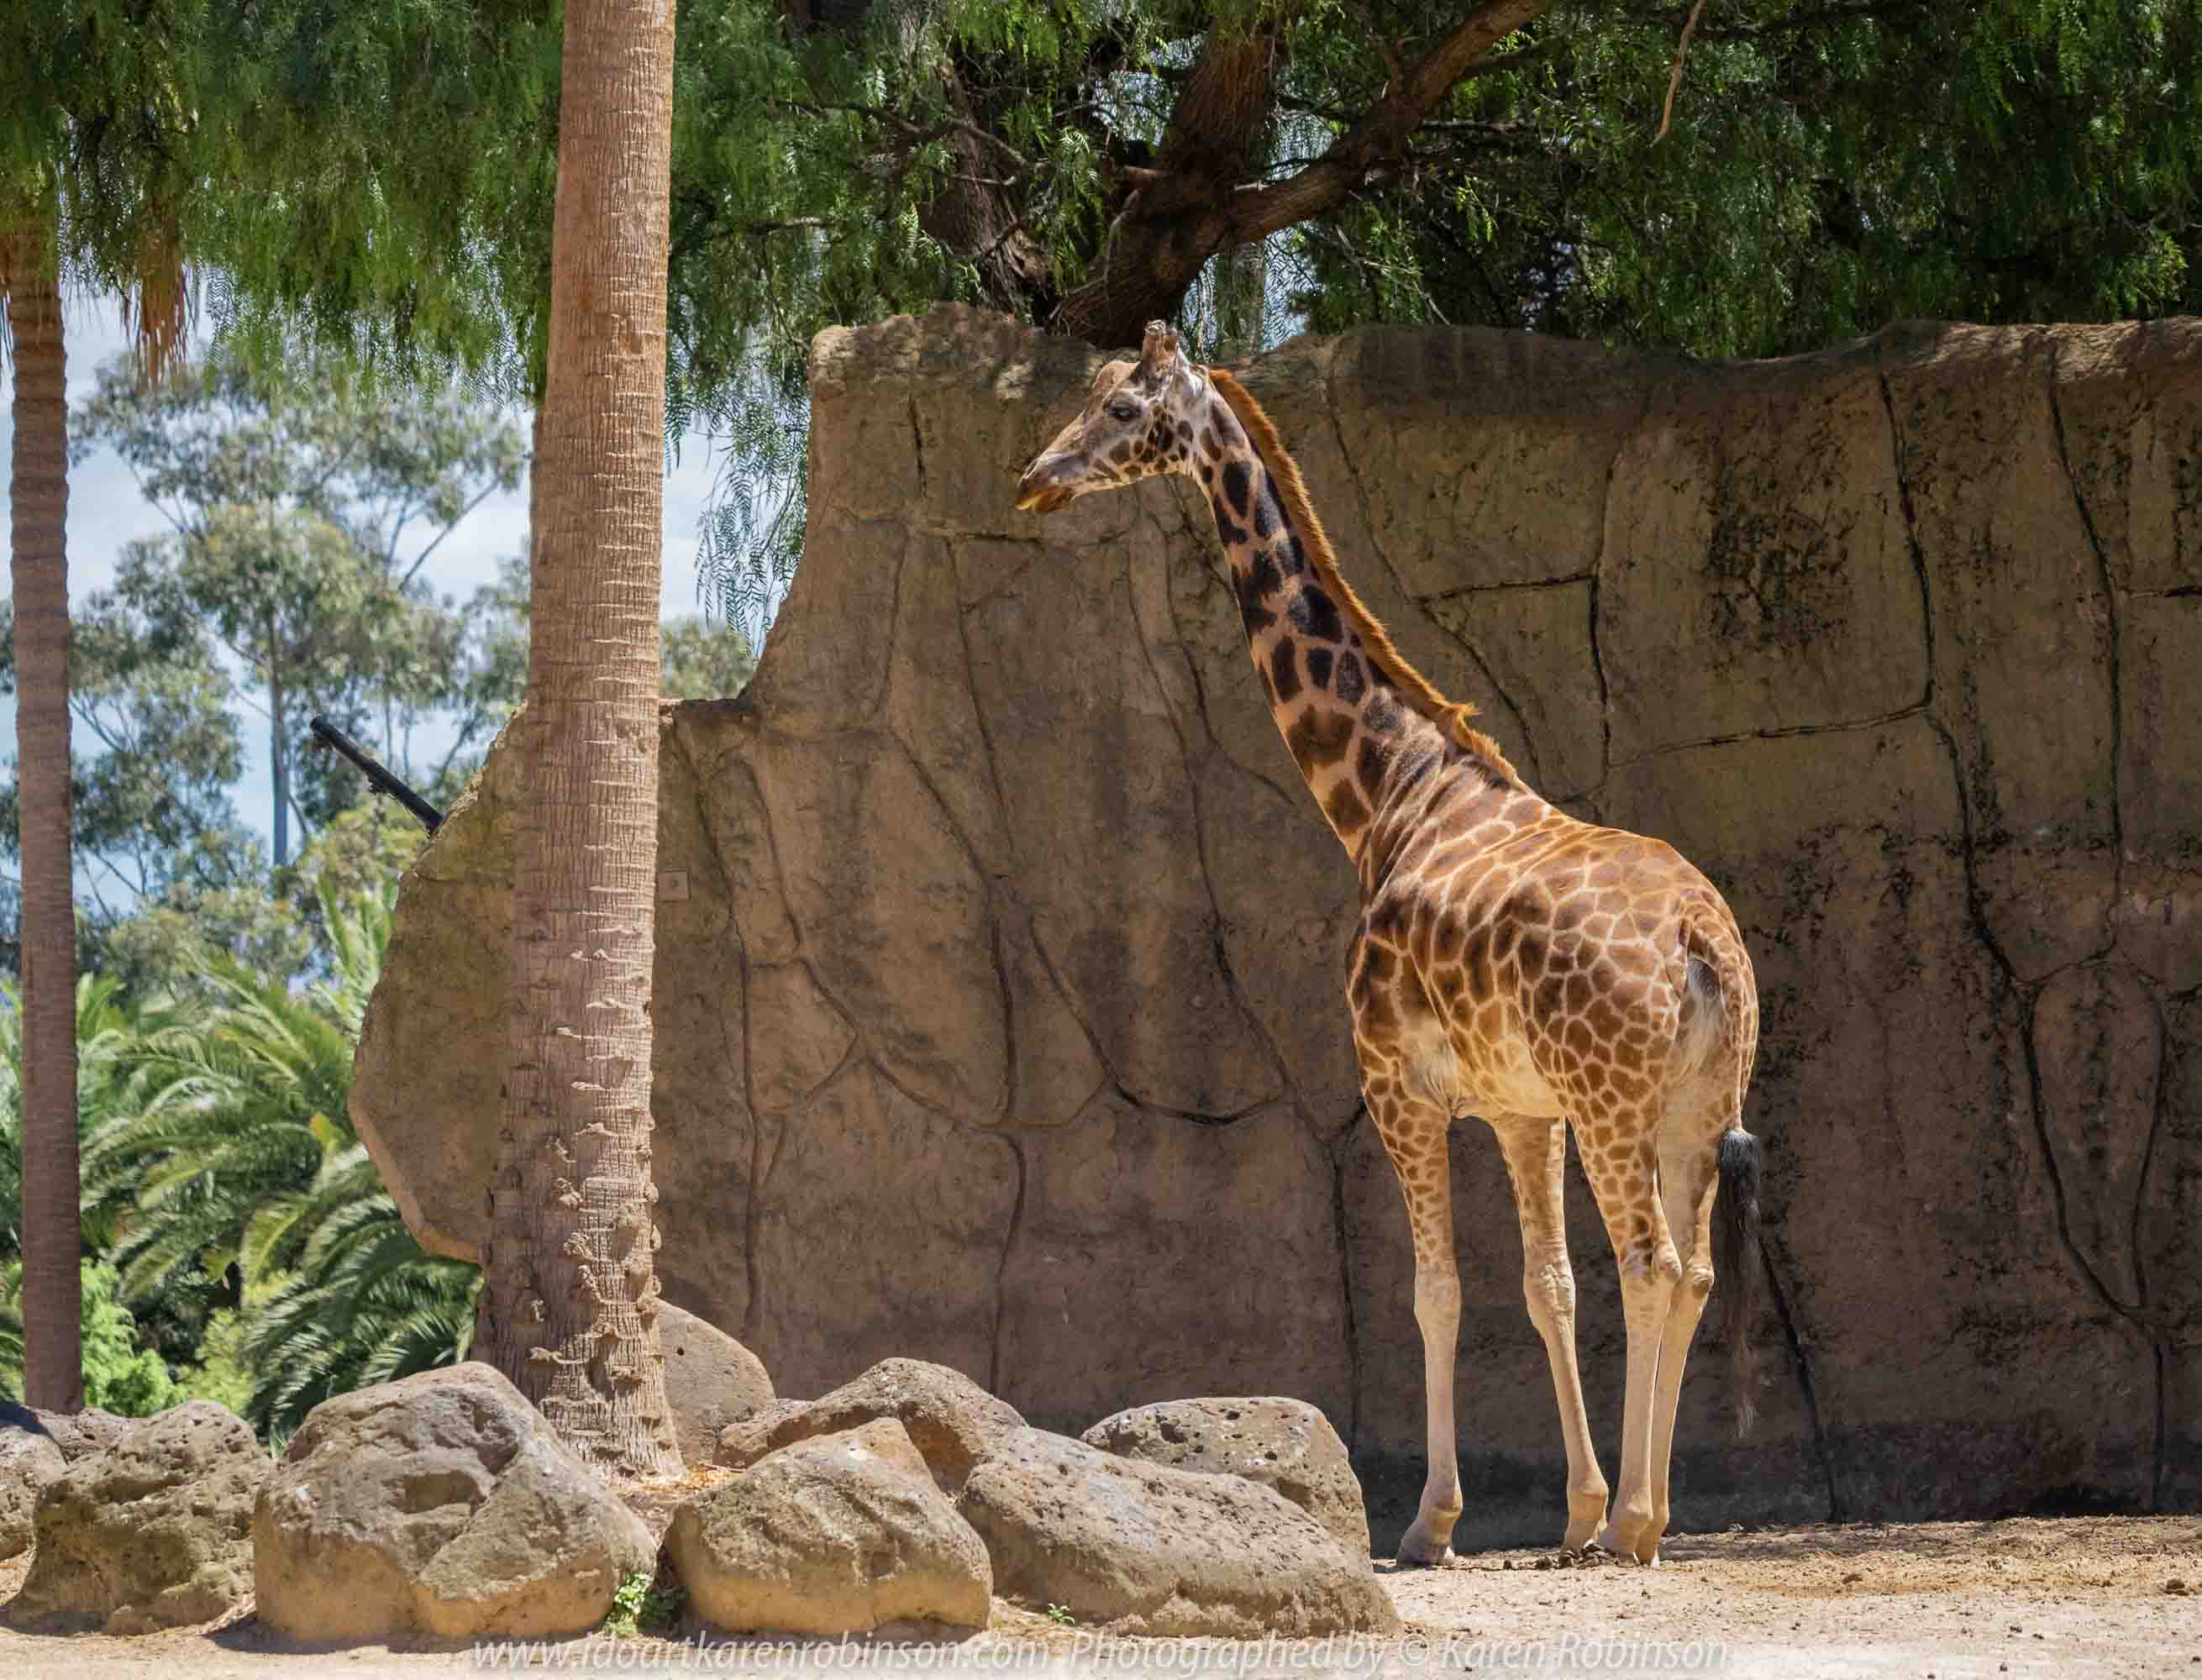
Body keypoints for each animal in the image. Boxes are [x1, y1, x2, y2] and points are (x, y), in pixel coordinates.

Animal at [1016, 323, 1764, 1567]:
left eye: (1122, 407)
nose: (1036, 478)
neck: (1388, 795)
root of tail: (1700, 942)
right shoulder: (1518, 1107)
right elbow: (1544, 1285)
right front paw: (1570, 1506)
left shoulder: (1394, 1086)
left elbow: (1436, 1290)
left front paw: (1432, 1519)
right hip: (1694, 1102)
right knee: (1693, 1266)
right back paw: (1636, 1516)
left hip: (1616, 1102)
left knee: (1652, 1261)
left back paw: (1641, 1522)